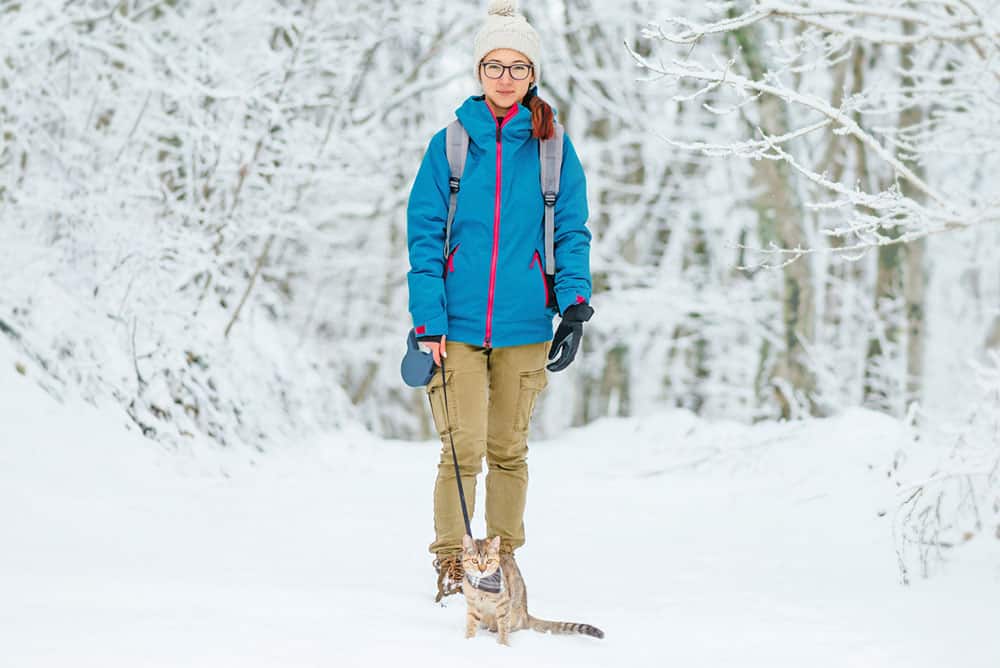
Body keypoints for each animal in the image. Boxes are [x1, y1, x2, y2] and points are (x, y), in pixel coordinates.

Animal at [458, 532, 604, 640]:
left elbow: (503, 627)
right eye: (474, 561)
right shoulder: (472, 605)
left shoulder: (504, 604)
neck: (481, 588)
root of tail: (526, 614)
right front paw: (469, 640)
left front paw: (503, 645)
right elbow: (471, 624)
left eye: (489, 561)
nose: (482, 570)